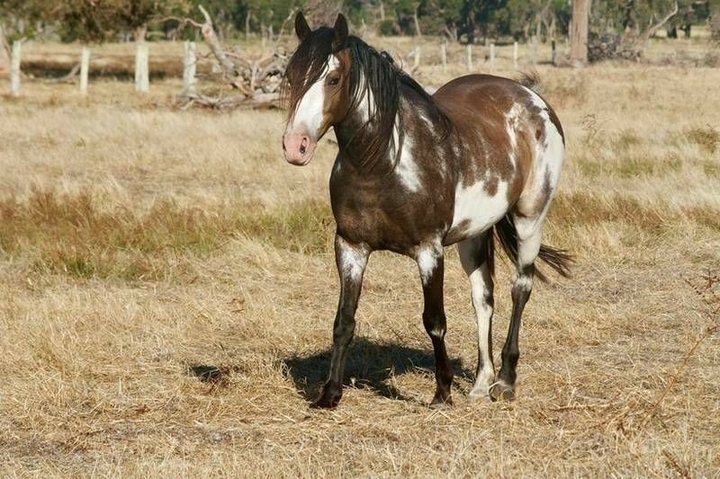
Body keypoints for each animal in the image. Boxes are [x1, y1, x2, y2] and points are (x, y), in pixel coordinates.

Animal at [281, 12, 572, 409]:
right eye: (291, 76)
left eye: (333, 79)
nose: (295, 146)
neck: (381, 162)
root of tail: (530, 95)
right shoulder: (350, 247)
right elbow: (344, 321)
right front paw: (329, 395)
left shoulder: (429, 250)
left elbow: (434, 320)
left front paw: (442, 392)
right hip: (473, 235)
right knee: (483, 299)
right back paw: (481, 383)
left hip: (530, 220)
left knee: (520, 290)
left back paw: (506, 381)